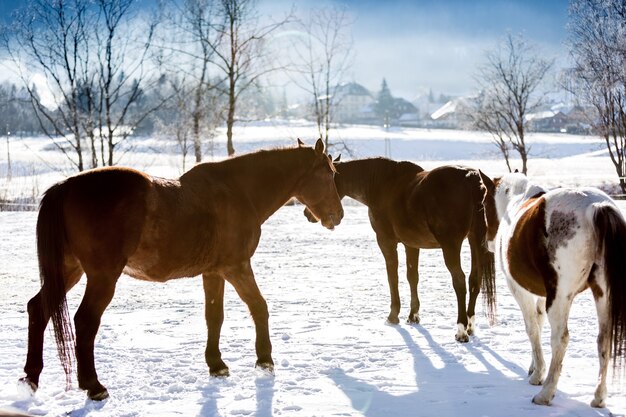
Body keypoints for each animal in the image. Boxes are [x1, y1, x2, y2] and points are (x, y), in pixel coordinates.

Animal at [18, 139, 342, 400]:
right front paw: (264, 360)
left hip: (69, 270)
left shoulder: (214, 272)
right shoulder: (236, 267)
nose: (337, 216)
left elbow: (214, 316)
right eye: (329, 174)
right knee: (84, 321)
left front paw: (216, 364)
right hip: (102, 276)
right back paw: (94, 386)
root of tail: (65, 187)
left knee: (38, 309)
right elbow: (259, 307)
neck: (239, 191)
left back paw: (31, 377)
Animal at [304, 158, 492, 340]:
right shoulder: (412, 244)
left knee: (459, 281)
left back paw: (461, 330)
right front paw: (413, 315)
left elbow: (392, 277)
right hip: (475, 240)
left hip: (451, 245)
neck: (383, 184)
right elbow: (412, 277)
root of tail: (471, 178)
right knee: (475, 280)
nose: (308, 214)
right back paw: (470, 326)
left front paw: (393, 316)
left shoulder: (386, 242)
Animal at [480, 171, 624, 406]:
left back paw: (545, 393)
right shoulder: (541, 293)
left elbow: (532, 328)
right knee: (604, 339)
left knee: (561, 339)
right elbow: (538, 322)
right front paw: (534, 367)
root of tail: (595, 207)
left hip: (560, 298)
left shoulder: (520, 290)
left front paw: (538, 374)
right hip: (603, 294)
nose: (489, 242)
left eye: (483, 203)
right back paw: (598, 397)